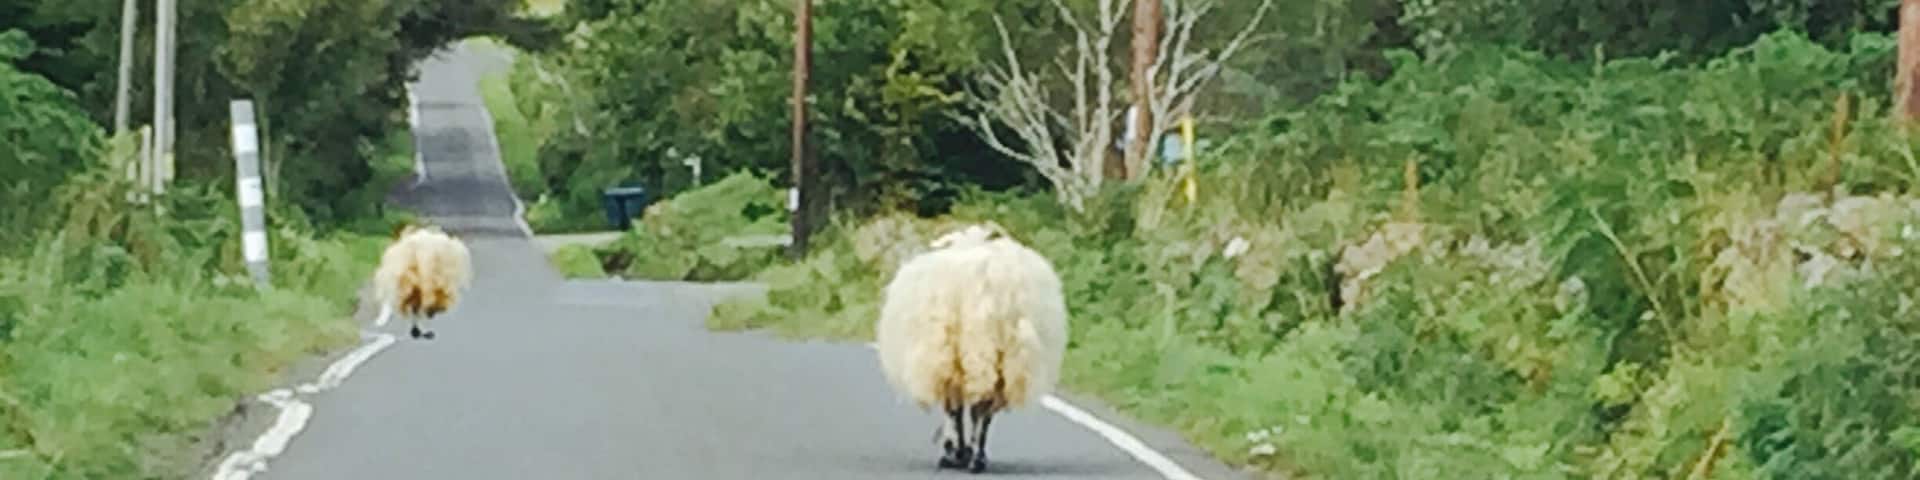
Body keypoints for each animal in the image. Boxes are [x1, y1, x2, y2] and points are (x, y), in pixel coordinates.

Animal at [875, 222, 1071, 473]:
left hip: (965, 350)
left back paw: (968, 456)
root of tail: (984, 280)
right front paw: (959, 452)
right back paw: (977, 457)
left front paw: (954, 452)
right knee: (983, 408)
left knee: (969, 407)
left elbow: (953, 410)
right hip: (1001, 355)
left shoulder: (945, 360)